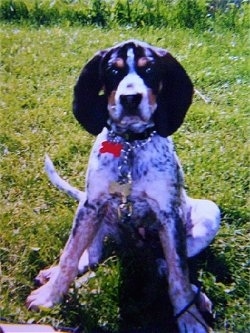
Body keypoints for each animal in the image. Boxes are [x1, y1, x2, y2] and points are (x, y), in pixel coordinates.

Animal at [26, 40, 220, 330]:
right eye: (113, 70)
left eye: (149, 69)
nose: (130, 98)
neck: (130, 145)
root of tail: (133, 249)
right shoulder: (91, 204)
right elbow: (69, 256)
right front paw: (50, 297)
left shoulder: (169, 215)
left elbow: (179, 276)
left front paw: (189, 317)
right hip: (95, 215)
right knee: (92, 255)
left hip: (209, 212)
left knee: (167, 265)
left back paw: (196, 296)